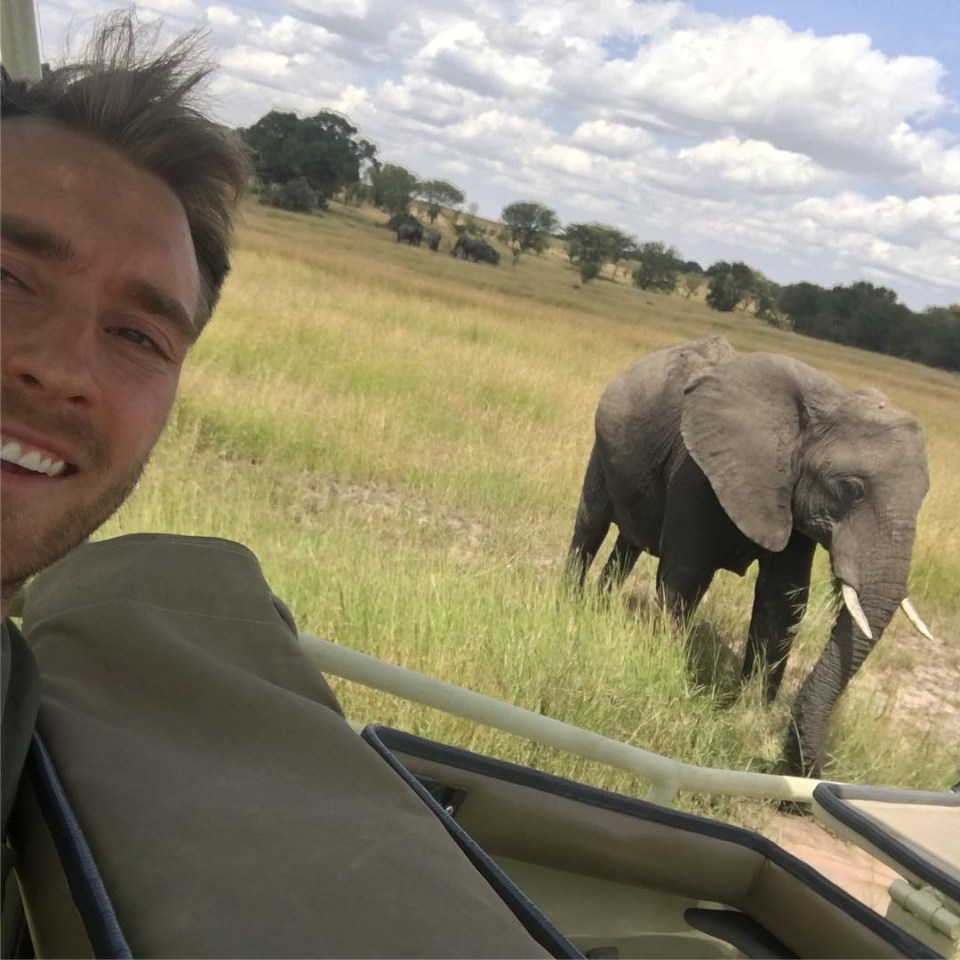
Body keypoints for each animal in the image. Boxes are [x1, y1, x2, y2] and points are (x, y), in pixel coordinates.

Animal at [568, 334, 932, 776]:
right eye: (849, 487)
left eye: (925, 496)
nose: (810, 777)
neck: (827, 400)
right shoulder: (697, 469)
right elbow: (686, 576)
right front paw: (665, 665)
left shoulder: (790, 493)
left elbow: (784, 598)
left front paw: (747, 709)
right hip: (603, 443)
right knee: (592, 524)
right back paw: (570, 601)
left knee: (628, 545)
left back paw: (601, 606)